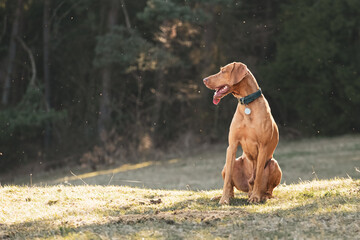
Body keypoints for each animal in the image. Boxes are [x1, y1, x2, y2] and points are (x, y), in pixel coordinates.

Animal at [204, 62, 280, 204]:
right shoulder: (232, 145)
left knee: (267, 189)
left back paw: (261, 196)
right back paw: (224, 196)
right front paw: (224, 199)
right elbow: (228, 179)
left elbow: (258, 175)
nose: (204, 80)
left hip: (274, 164)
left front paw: (256, 197)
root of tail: (248, 191)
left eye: (223, 71)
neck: (247, 104)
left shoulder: (263, 147)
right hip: (231, 164)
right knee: (232, 187)